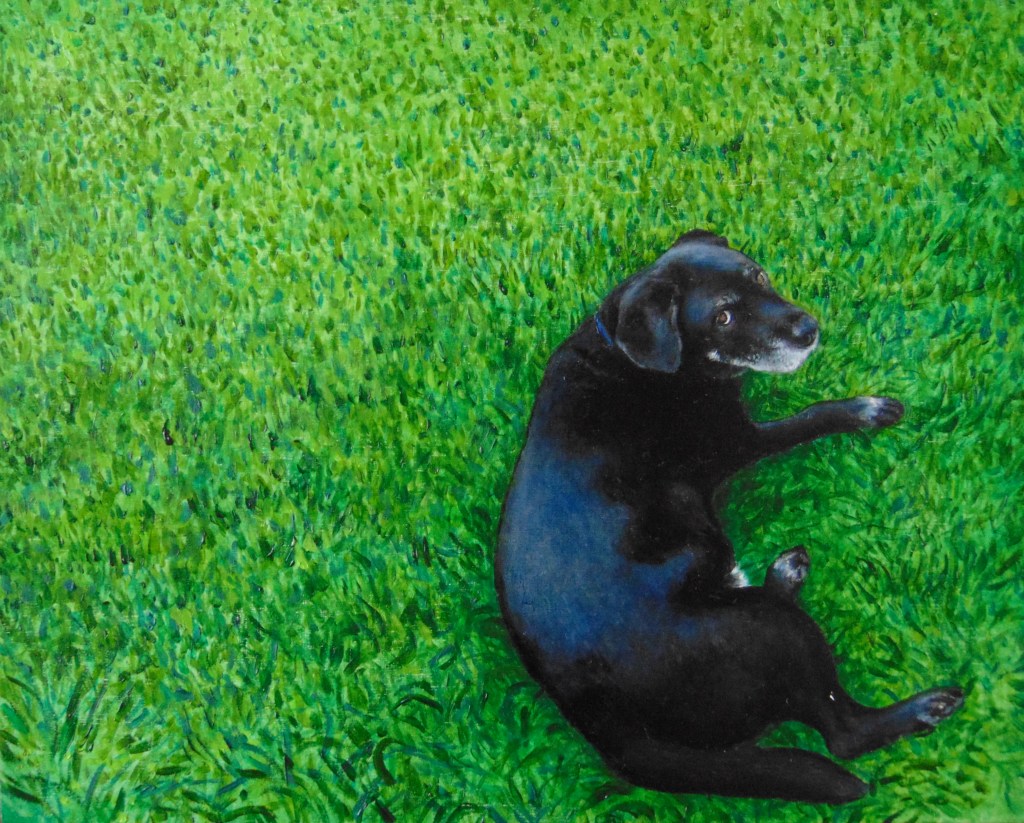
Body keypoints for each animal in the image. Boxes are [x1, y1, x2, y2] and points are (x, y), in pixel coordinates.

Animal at [495, 229, 964, 803]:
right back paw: (923, 708)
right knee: (843, 733)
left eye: (758, 276)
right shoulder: (741, 440)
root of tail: (610, 732)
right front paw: (864, 409)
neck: (637, 359)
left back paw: (784, 573)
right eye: (722, 317)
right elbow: (812, 417)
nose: (808, 329)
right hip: (772, 633)